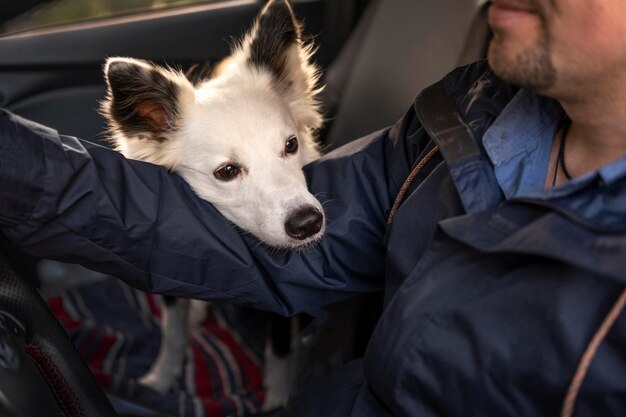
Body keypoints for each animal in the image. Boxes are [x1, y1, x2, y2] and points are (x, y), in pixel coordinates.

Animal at [100, 0, 324, 408]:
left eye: (291, 145)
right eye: (226, 172)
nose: (308, 223)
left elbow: (279, 350)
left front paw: (278, 398)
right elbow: (173, 334)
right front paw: (159, 380)